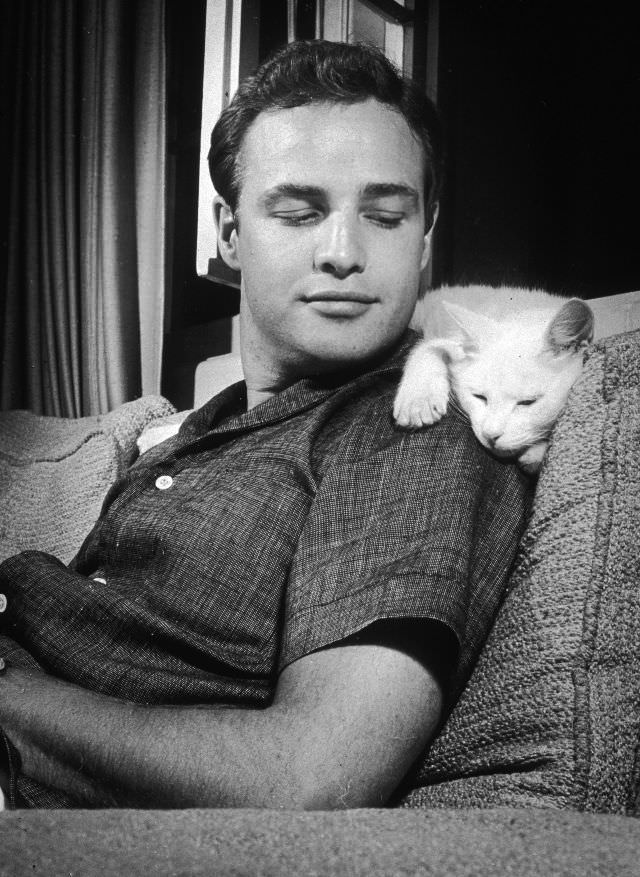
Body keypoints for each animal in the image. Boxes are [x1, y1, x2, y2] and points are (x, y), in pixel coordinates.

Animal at [396, 284, 596, 472]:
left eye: (527, 402)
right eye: (479, 397)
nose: (491, 435)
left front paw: (537, 452)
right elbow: (430, 346)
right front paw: (418, 398)